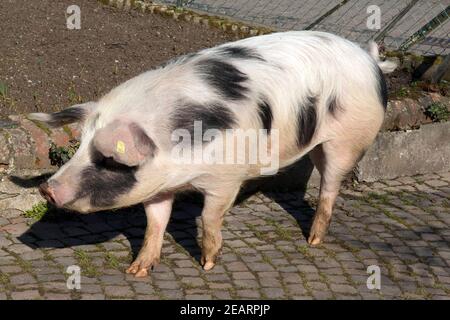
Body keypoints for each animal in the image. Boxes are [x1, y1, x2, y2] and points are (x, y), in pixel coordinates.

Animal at [30, 31, 398, 276]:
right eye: (80, 147)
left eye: (107, 159)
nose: (46, 188)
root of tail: (369, 58)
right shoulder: (157, 185)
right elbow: (155, 222)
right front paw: (137, 271)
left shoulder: (225, 179)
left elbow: (209, 217)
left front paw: (207, 264)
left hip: (347, 139)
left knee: (330, 186)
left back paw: (313, 241)